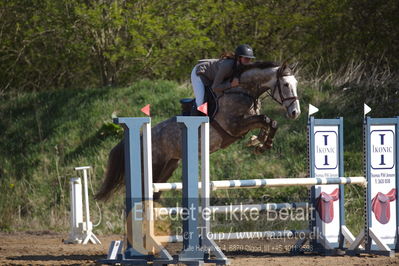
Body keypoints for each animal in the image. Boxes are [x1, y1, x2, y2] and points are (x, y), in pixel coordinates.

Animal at [96, 61, 300, 201]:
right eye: (285, 85)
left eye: (295, 84)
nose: (295, 113)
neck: (242, 91)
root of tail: (138, 138)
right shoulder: (234, 126)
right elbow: (265, 120)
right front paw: (262, 143)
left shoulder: (245, 124)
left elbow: (269, 122)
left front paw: (259, 143)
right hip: (154, 166)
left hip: (170, 166)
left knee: (155, 194)